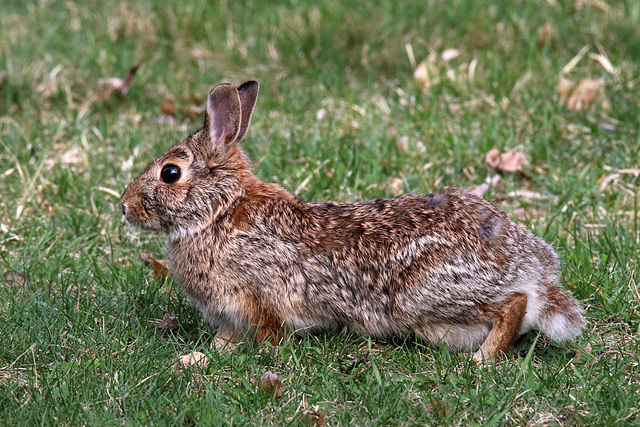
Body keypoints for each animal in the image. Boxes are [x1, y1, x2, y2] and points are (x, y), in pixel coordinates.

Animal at [120, 81, 584, 362]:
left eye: (170, 173)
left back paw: (483, 358)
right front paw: (200, 356)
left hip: (428, 296)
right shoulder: (229, 314)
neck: (217, 212)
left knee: (514, 304)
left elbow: (269, 335)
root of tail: (533, 268)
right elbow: (226, 339)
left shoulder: (256, 299)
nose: (124, 207)